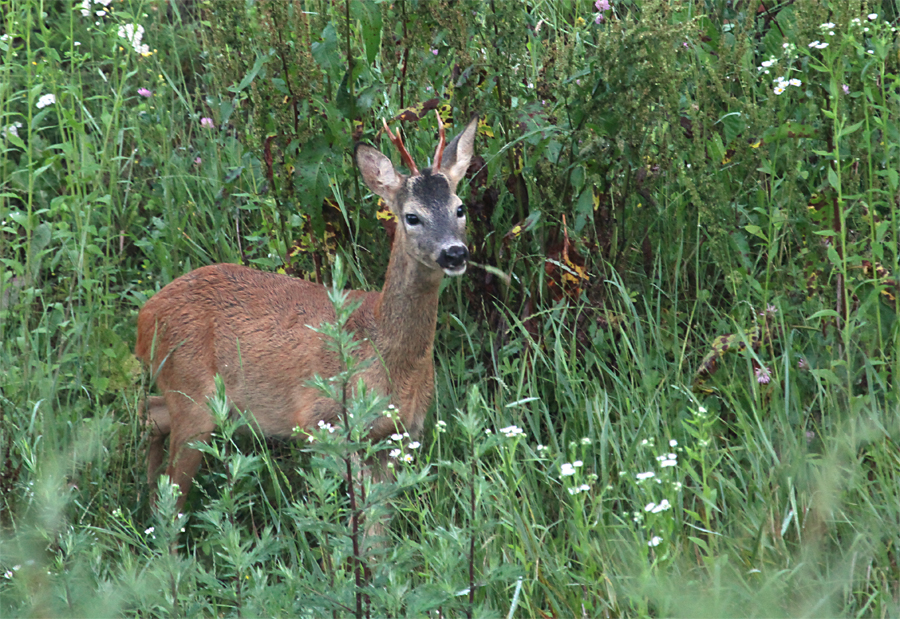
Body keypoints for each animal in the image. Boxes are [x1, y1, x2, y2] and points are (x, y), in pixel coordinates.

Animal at [135, 114, 478, 512]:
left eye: (459, 208)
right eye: (412, 216)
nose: (454, 253)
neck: (383, 350)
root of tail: (145, 316)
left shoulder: (401, 435)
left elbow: (379, 515)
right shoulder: (319, 421)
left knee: (151, 413)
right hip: (193, 396)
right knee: (173, 487)